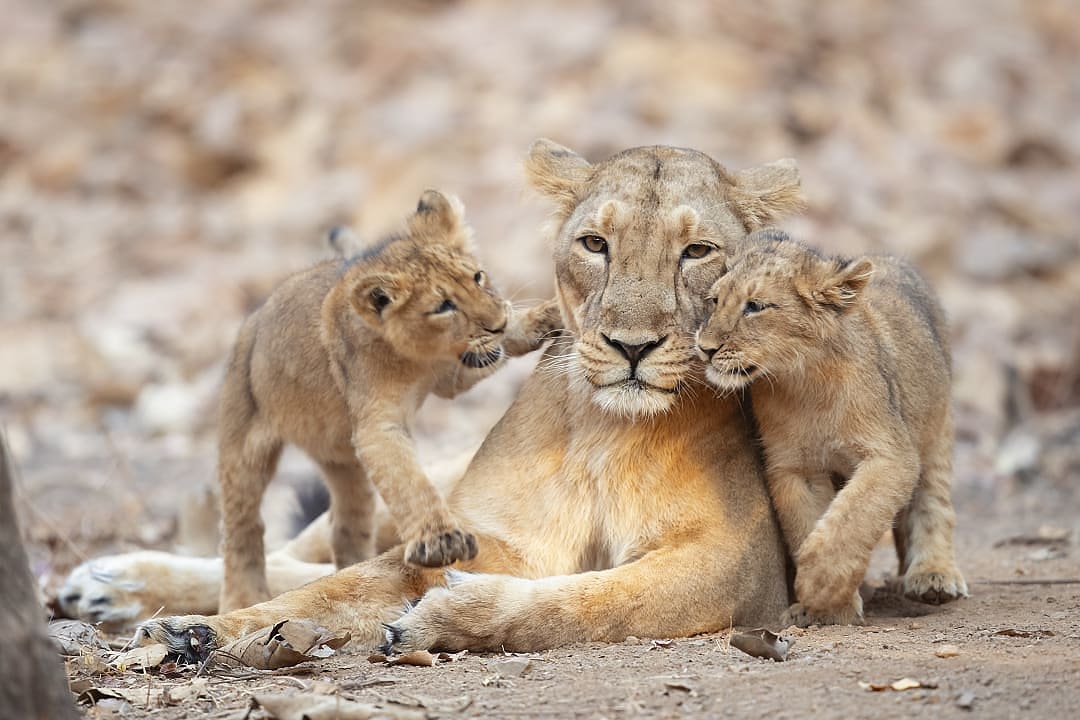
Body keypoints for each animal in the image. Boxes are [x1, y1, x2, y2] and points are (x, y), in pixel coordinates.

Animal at [216, 189, 561, 611]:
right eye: (444, 306)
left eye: (477, 277)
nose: (496, 323)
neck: (421, 361)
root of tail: (255, 317)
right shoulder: (378, 424)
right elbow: (409, 482)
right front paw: (441, 542)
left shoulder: (453, 376)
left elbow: (495, 350)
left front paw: (545, 317)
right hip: (243, 440)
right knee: (243, 527)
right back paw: (241, 598)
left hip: (344, 463)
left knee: (345, 524)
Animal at [696, 229, 968, 627]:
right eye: (714, 300)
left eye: (755, 307)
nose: (705, 348)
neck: (803, 384)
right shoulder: (796, 469)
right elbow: (808, 522)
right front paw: (826, 609)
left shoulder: (891, 454)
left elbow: (854, 515)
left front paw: (820, 583)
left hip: (937, 428)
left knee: (933, 501)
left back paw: (933, 576)